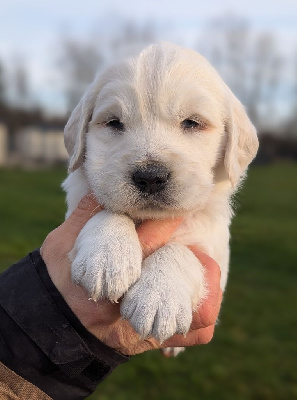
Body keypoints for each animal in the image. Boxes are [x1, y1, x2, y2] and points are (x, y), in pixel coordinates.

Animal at [61, 43, 256, 344]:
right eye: (114, 122)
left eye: (192, 123)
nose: (150, 177)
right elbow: (108, 209)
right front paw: (107, 256)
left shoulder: (216, 251)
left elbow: (183, 249)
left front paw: (160, 295)